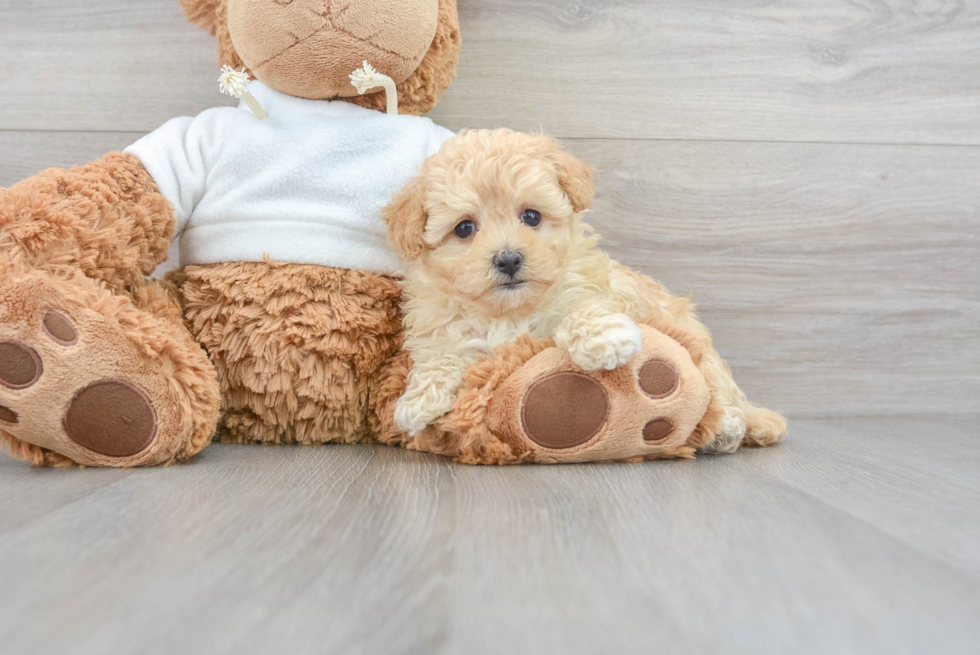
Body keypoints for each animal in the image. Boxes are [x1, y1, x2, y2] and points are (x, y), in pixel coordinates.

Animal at [378, 128, 784, 452]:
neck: (510, 311)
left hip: (705, 357)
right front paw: (418, 400)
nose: (508, 259)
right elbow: (442, 354)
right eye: (463, 228)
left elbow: (583, 307)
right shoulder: (445, 327)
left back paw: (729, 426)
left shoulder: (587, 287)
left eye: (531, 216)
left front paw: (604, 339)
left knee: (720, 393)